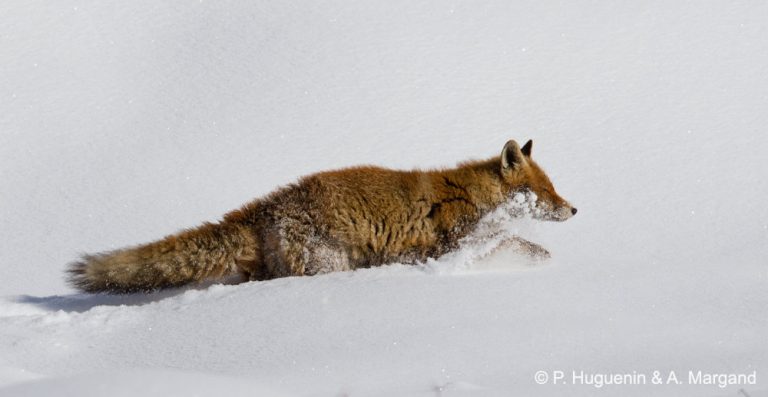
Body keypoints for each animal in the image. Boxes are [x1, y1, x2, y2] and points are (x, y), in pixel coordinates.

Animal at [69, 138, 576, 292]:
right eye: (545, 191)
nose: (574, 208)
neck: (472, 194)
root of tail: (268, 204)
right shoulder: (451, 244)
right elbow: (521, 247)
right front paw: (542, 263)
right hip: (325, 263)